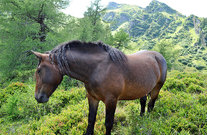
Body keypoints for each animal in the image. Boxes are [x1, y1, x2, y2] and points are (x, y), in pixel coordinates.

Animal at [31, 40, 167, 135]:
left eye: (39, 71)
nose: (38, 97)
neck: (97, 69)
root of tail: (158, 56)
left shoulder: (111, 101)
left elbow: (108, 123)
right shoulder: (92, 98)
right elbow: (91, 120)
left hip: (157, 88)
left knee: (151, 104)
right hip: (143, 88)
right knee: (143, 101)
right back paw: (141, 118)